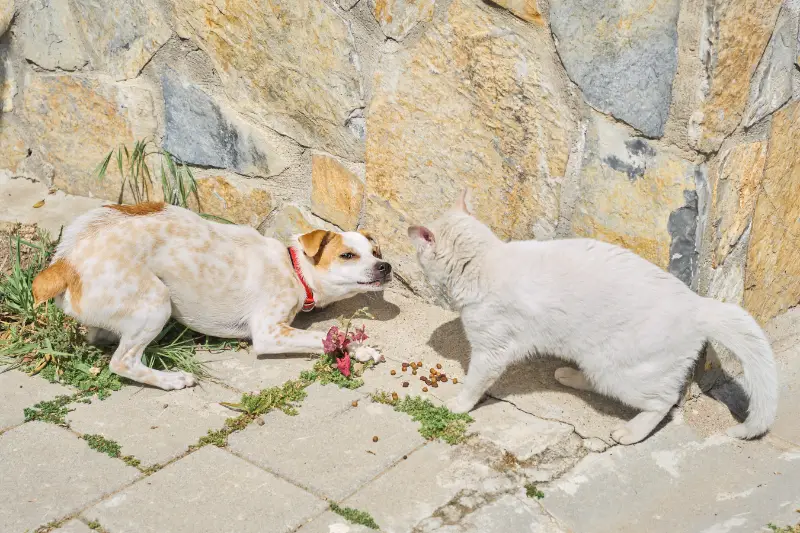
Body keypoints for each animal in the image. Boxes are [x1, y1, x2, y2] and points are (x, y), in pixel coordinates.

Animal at [32, 202, 390, 388]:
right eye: (347, 255)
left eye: (375, 252)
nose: (385, 266)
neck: (293, 268)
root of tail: (64, 261)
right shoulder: (269, 333)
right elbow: (323, 337)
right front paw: (356, 347)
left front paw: (361, 350)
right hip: (156, 302)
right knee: (122, 361)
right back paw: (170, 379)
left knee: (101, 337)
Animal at [406, 189, 776, 442]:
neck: (482, 262)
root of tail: (698, 304)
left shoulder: (490, 351)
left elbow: (474, 384)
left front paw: (457, 405)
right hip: (597, 360)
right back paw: (569, 375)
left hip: (621, 371)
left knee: (665, 402)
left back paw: (630, 433)